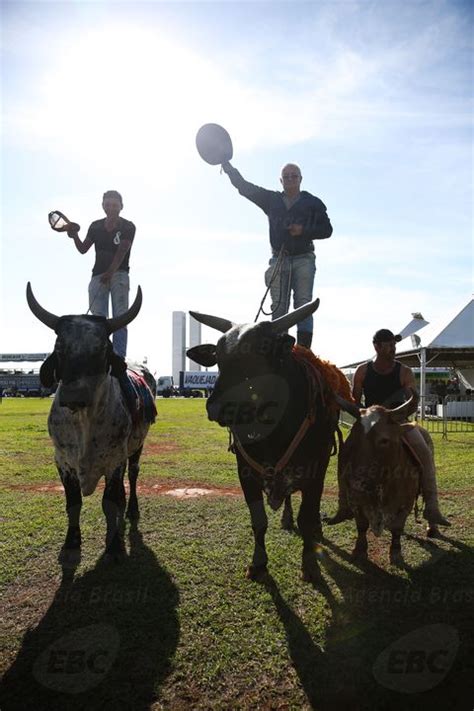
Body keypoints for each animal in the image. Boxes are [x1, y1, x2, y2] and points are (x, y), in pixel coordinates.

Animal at [26, 284, 156, 568]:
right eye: (59, 346)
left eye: (102, 348)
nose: (75, 395)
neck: (85, 421)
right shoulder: (62, 461)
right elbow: (73, 504)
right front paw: (71, 545)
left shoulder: (115, 461)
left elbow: (110, 503)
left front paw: (114, 546)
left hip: (137, 446)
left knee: (132, 477)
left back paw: (131, 510)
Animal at [187, 298, 338, 580]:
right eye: (218, 358)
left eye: (260, 352)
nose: (216, 407)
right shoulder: (245, 473)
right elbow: (258, 521)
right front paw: (258, 562)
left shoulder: (316, 471)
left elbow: (307, 518)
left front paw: (310, 565)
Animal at [334, 394, 426, 568]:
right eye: (353, 437)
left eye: (384, 440)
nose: (356, 483)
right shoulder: (355, 501)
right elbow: (362, 526)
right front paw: (359, 550)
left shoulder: (406, 504)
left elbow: (397, 528)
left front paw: (395, 552)